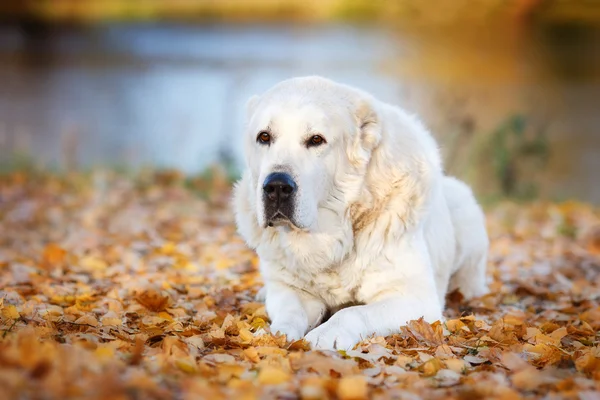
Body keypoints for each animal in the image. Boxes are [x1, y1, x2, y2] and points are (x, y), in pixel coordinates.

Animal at [230, 76, 488, 350]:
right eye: (264, 136)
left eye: (316, 140)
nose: (276, 186)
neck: (333, 233)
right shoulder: (291, 291)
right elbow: (291, 313)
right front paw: (275, 335)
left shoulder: (416, 299)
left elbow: (352, 312)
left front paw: (326, 333)